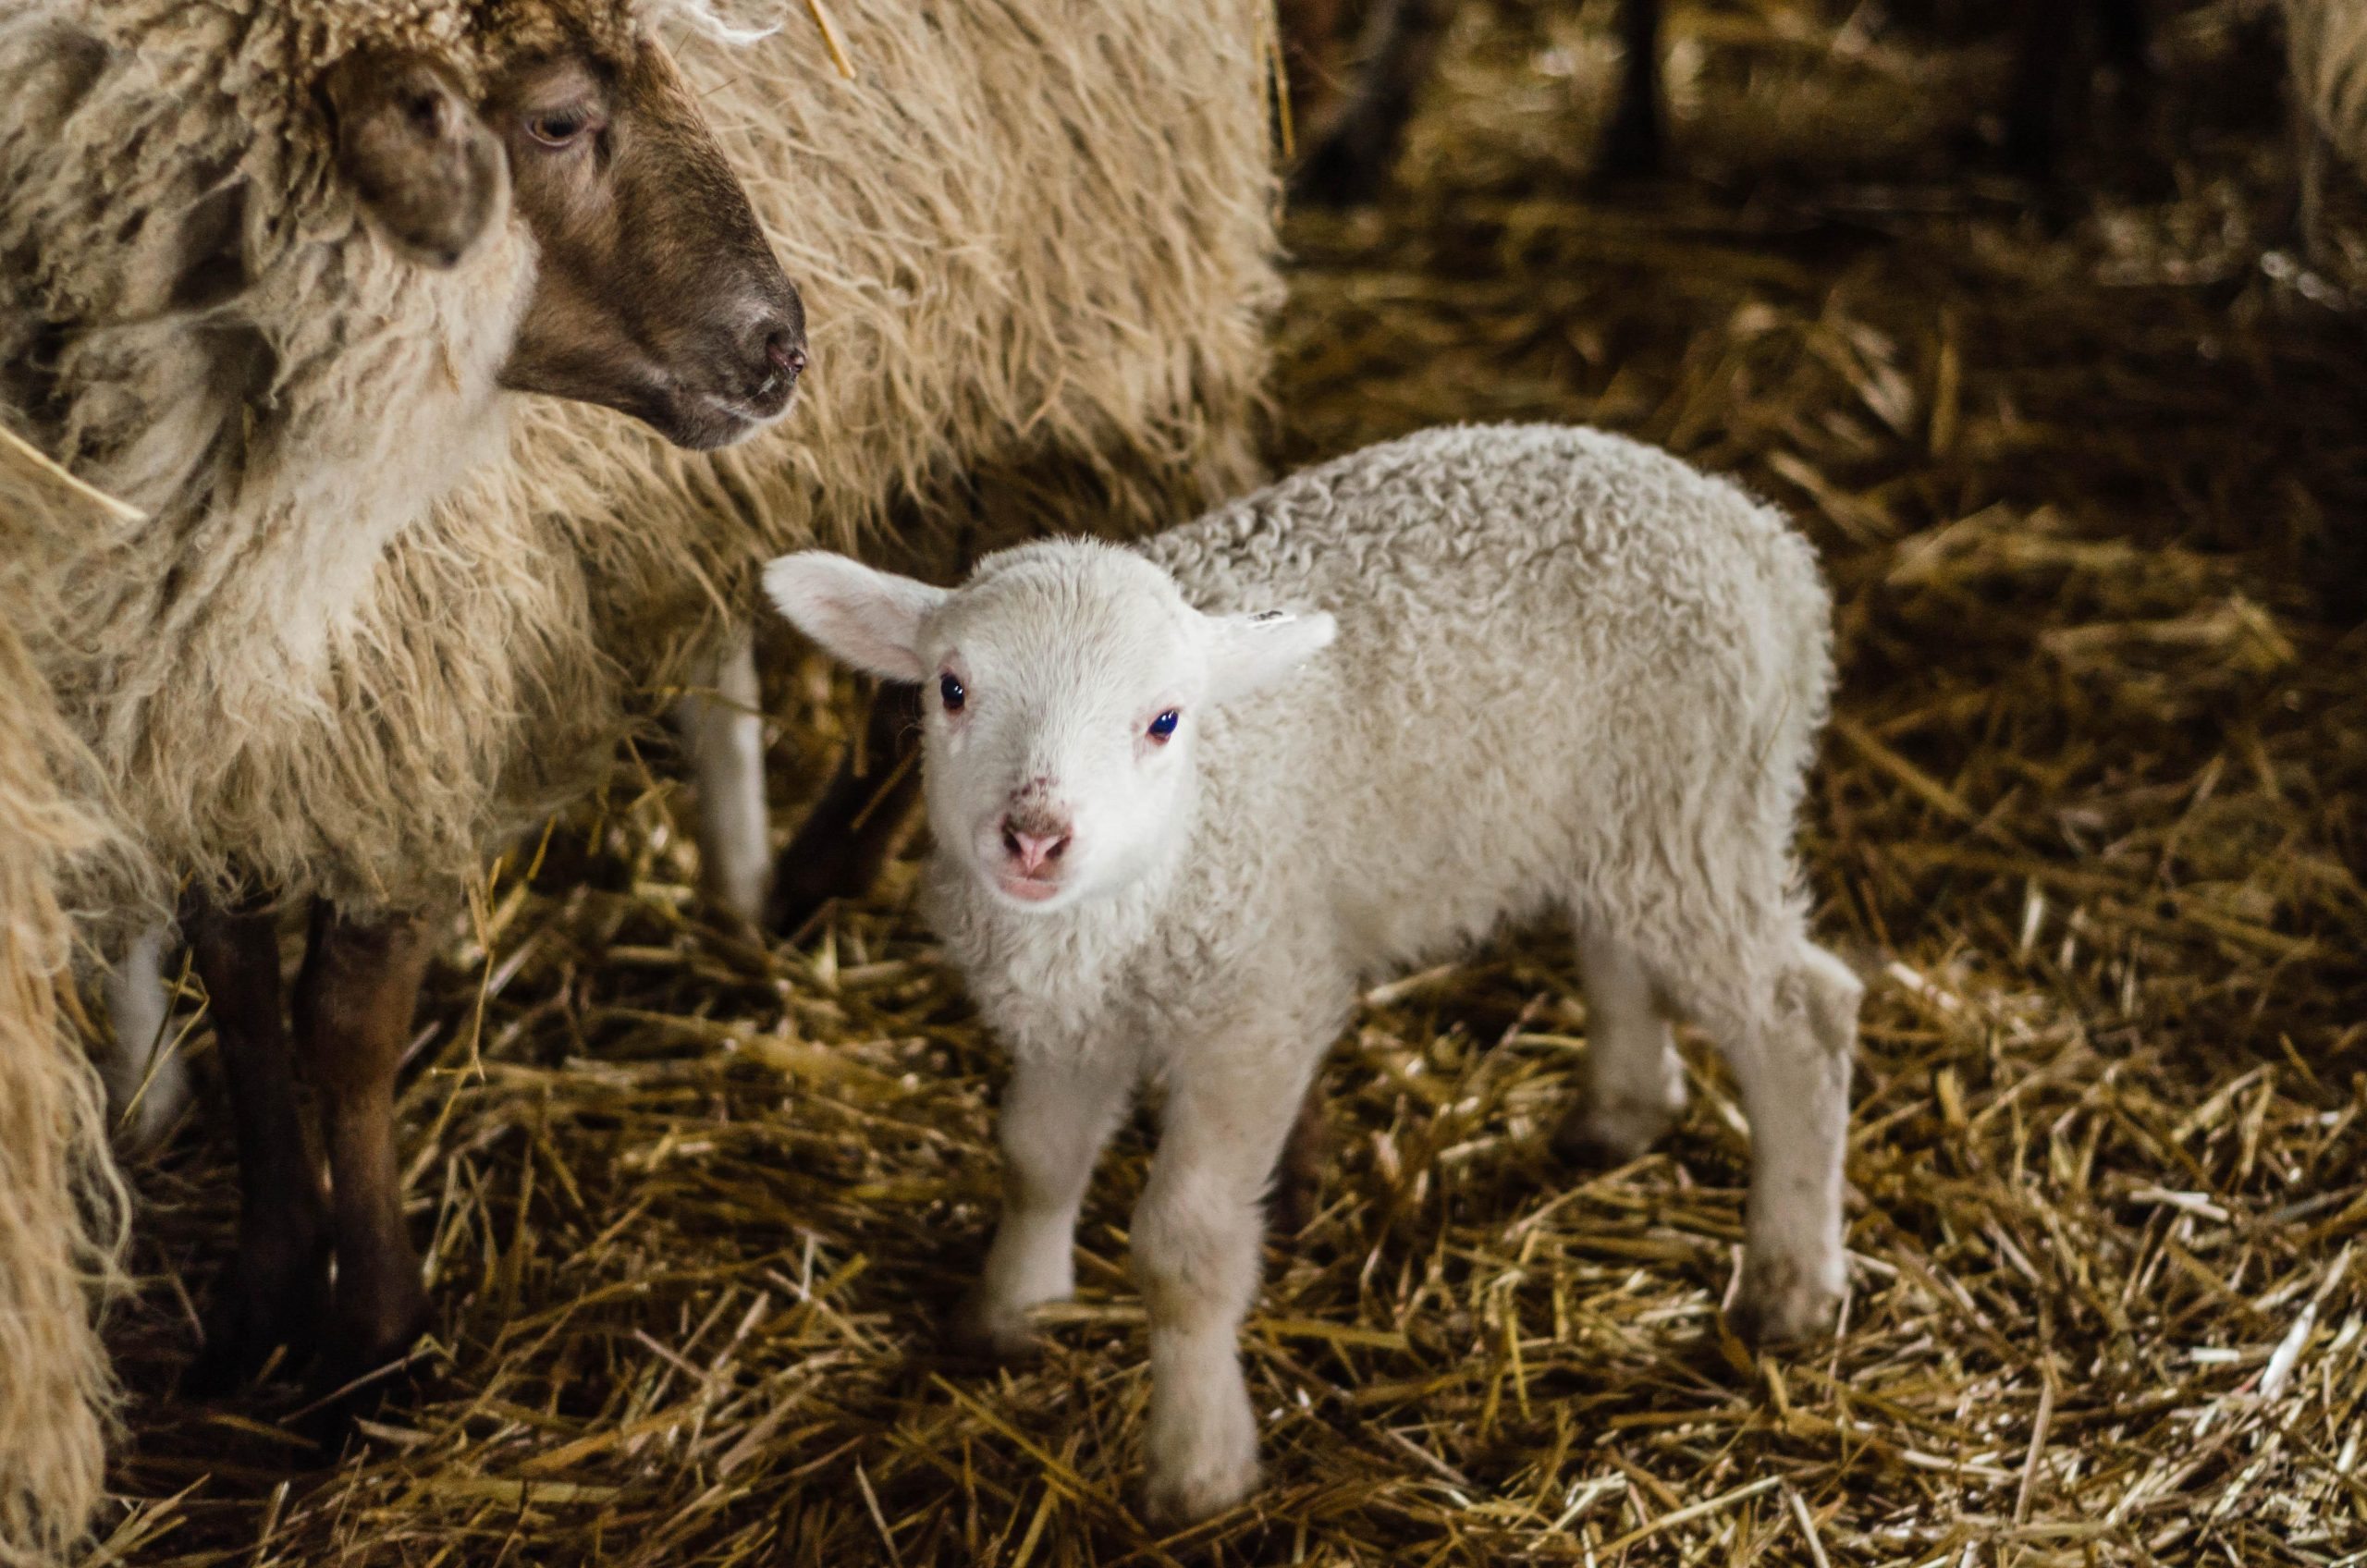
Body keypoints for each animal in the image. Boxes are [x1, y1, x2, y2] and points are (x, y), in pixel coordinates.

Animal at [767, 423, 1856, 1525]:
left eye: (1165, 720)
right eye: (950, 688)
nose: (1034, 836)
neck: (1147, 880)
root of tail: (1764, 543)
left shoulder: (1254, 1013)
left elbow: (1184, 1246)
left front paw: (1199, 1467)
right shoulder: (1073, 1021)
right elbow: (1035, 1159)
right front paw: (1010, 1313)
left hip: (1699, 804)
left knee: (1802, 1014)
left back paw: (1790, 1283)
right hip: (1628, 815)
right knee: (1620, 948)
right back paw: (1621, 1113)